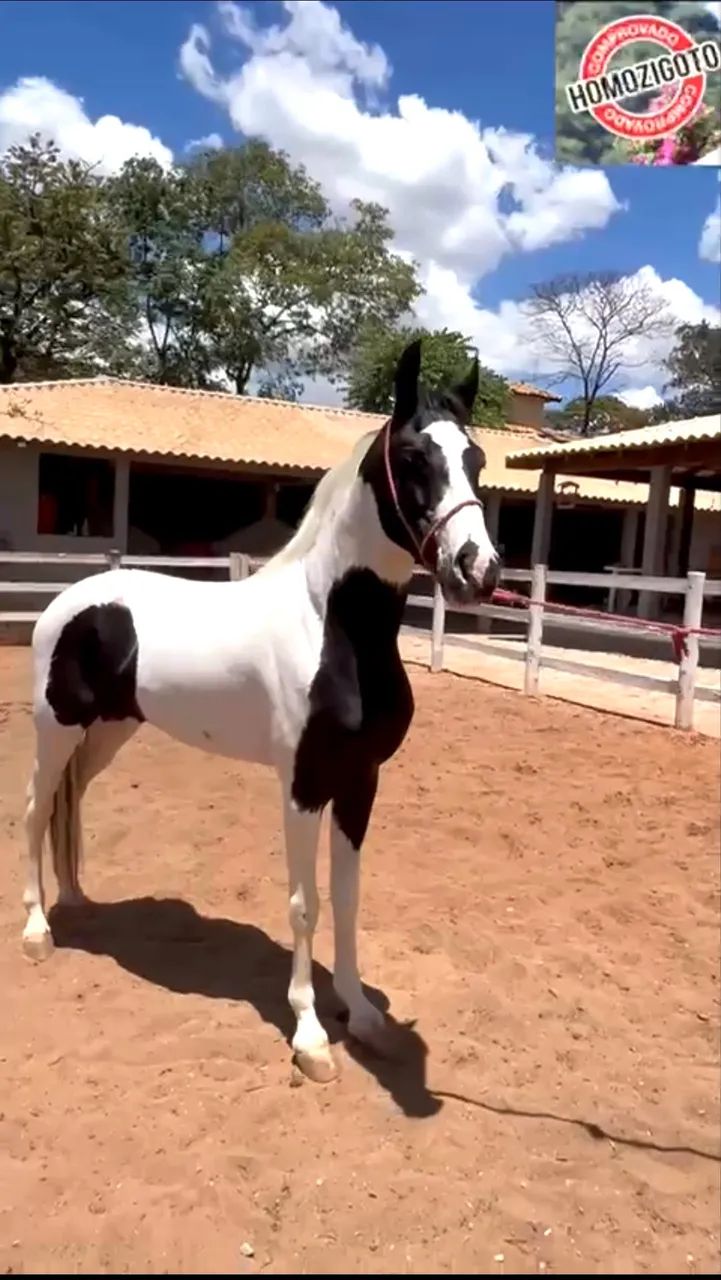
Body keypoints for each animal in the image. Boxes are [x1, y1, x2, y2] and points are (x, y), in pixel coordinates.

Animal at [21, 339, 500, 1083]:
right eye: (414, 458)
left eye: (475, 459)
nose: (478, 569)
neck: (333, 626)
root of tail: (72, 600)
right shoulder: (302, 786)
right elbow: (304, 906)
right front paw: (310, 1036)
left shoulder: (360, 782)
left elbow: (347, 898)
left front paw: (362, 1015)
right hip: (56, 729)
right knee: (35, 808)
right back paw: (37, 930)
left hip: (109, 734)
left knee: (69, 806)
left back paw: (76, 902)